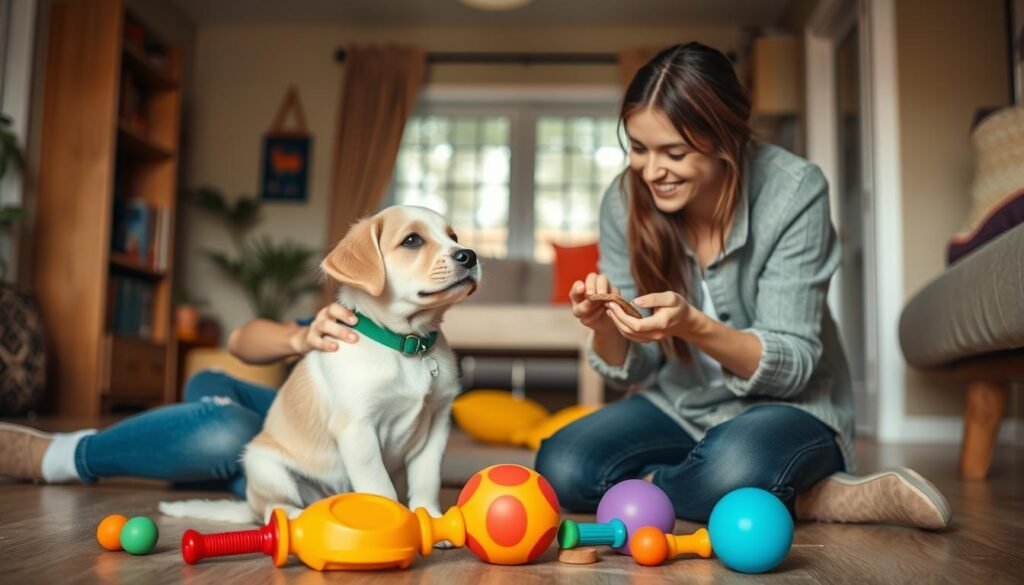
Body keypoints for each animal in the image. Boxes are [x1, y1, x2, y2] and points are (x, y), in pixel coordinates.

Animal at [159, 204, 479, 522]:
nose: (469, 255)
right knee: (273, 508)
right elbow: (380, 487)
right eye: (412, 240)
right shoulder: (357, 428)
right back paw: (296, 517)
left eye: (453, 236)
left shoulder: (436, 423)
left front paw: (432, 518)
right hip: (265, 466)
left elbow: (427, 480)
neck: (409, 346)